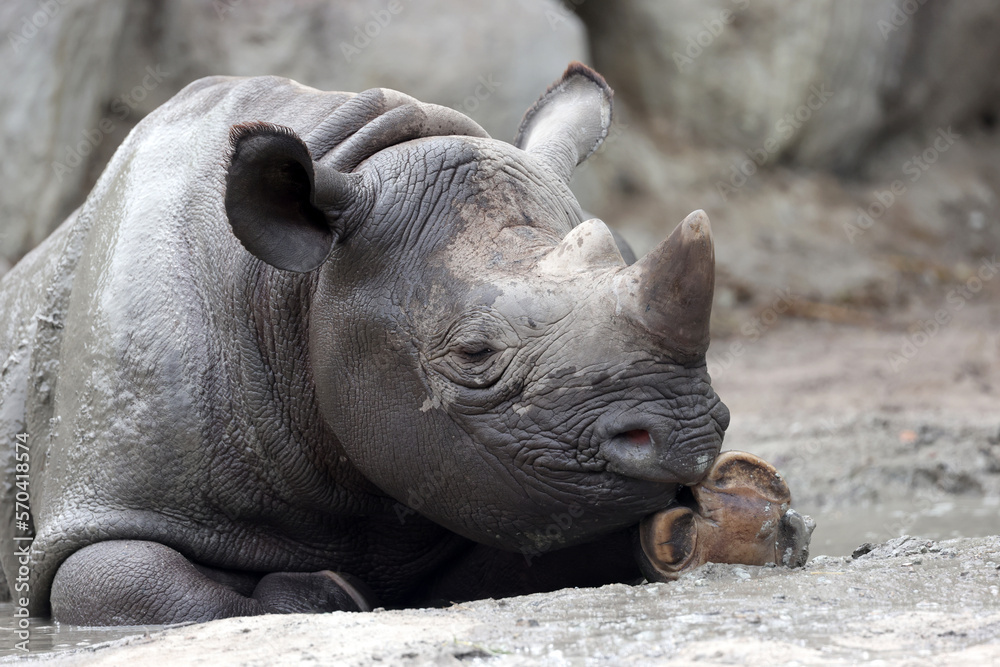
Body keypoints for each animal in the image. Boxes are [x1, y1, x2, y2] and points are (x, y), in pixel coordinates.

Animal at [0, 63, 810, 626]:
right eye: (474, 354)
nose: (689, 432)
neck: (303, 282)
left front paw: (750, 520)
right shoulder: (102, 516)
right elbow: (127, 581)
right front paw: (319, 589)